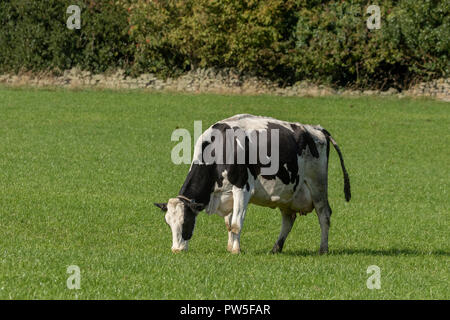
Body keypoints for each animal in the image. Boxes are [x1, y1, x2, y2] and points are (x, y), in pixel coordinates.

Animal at [155, 114, 352, 254]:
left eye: (186, 221)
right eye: (168, 224)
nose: (176, 250)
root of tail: (317, 129)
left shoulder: (242, 188)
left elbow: (236, 223)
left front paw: (235, 251)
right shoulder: (227, 194)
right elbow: (229, 224)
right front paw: (231, 246)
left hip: (317, 185)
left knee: (324, 215)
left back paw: (323, 249)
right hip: (288, 194)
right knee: (288, 219)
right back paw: (276, 248)